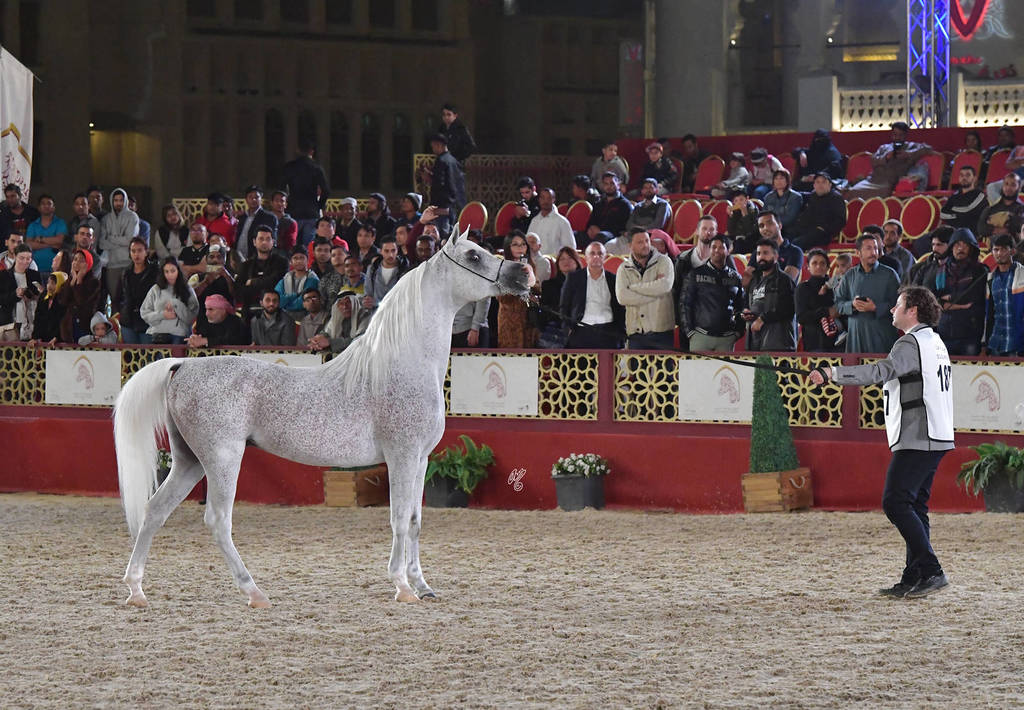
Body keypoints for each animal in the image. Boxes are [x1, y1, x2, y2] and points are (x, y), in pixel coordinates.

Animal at [113, 230, 531, 607]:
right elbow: (398, 519)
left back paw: (136, 591)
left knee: (155, 511)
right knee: (217, 521)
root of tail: (181, 365)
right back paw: (254, 593)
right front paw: (402, 587)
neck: (401, 364)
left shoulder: (421, 459)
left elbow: (414, 521)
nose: (523, 272)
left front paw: (423, 585)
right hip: (222, 459)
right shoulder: (401, 456)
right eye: (473, 256)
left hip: (189, 461)